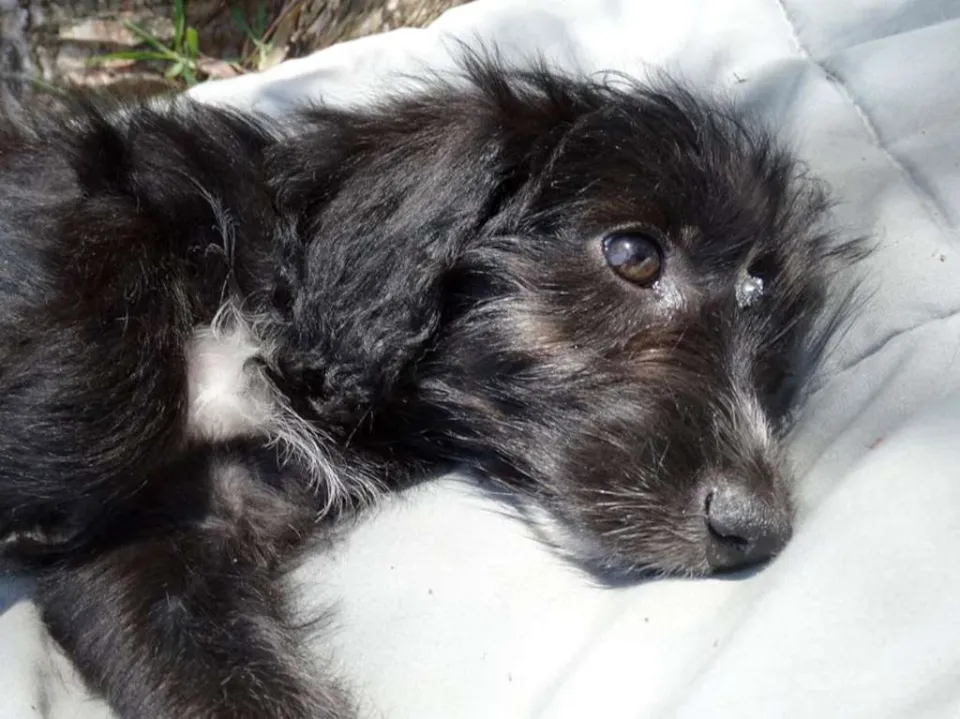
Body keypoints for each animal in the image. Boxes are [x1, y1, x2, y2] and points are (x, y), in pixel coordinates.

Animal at [0, 57, 862, 718]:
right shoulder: (96, 216)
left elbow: (214, 675)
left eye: (776, 341)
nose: (759, 528)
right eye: (632, 253)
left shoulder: (162, 545)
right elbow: (100, 364)